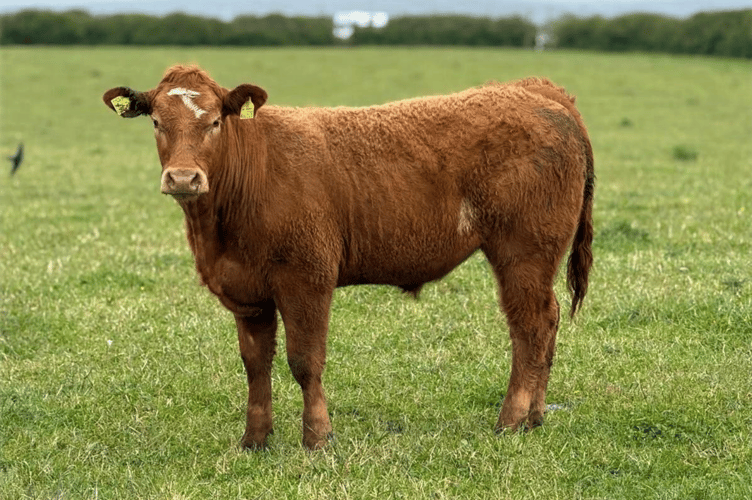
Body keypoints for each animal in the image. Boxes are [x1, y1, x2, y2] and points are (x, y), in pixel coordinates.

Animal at [102, 65, 594, 450]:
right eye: (157, 122)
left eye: (215, 122)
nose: (184, 178)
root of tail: (535, 90)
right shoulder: (248, 294)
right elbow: (255, 365)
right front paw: (255, 439)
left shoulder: (308, 279)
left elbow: (304, 361)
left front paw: (317, 437)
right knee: (548, 321)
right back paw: (536, 416)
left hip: (523, 254)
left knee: (530, 327)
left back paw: (511, 420)